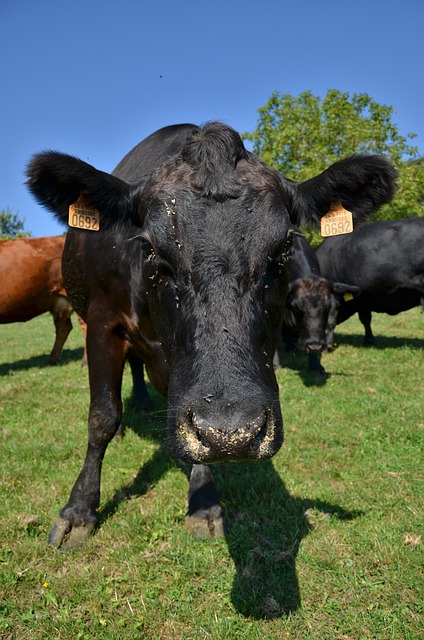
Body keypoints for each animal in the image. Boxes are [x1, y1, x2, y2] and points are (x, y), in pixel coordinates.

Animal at [26, 122, 398, 548]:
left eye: (284, 247)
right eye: (148, 247)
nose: (230, 433)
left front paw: (203, 501)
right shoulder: (103, 323)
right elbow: (102, 416)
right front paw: (79, 510)